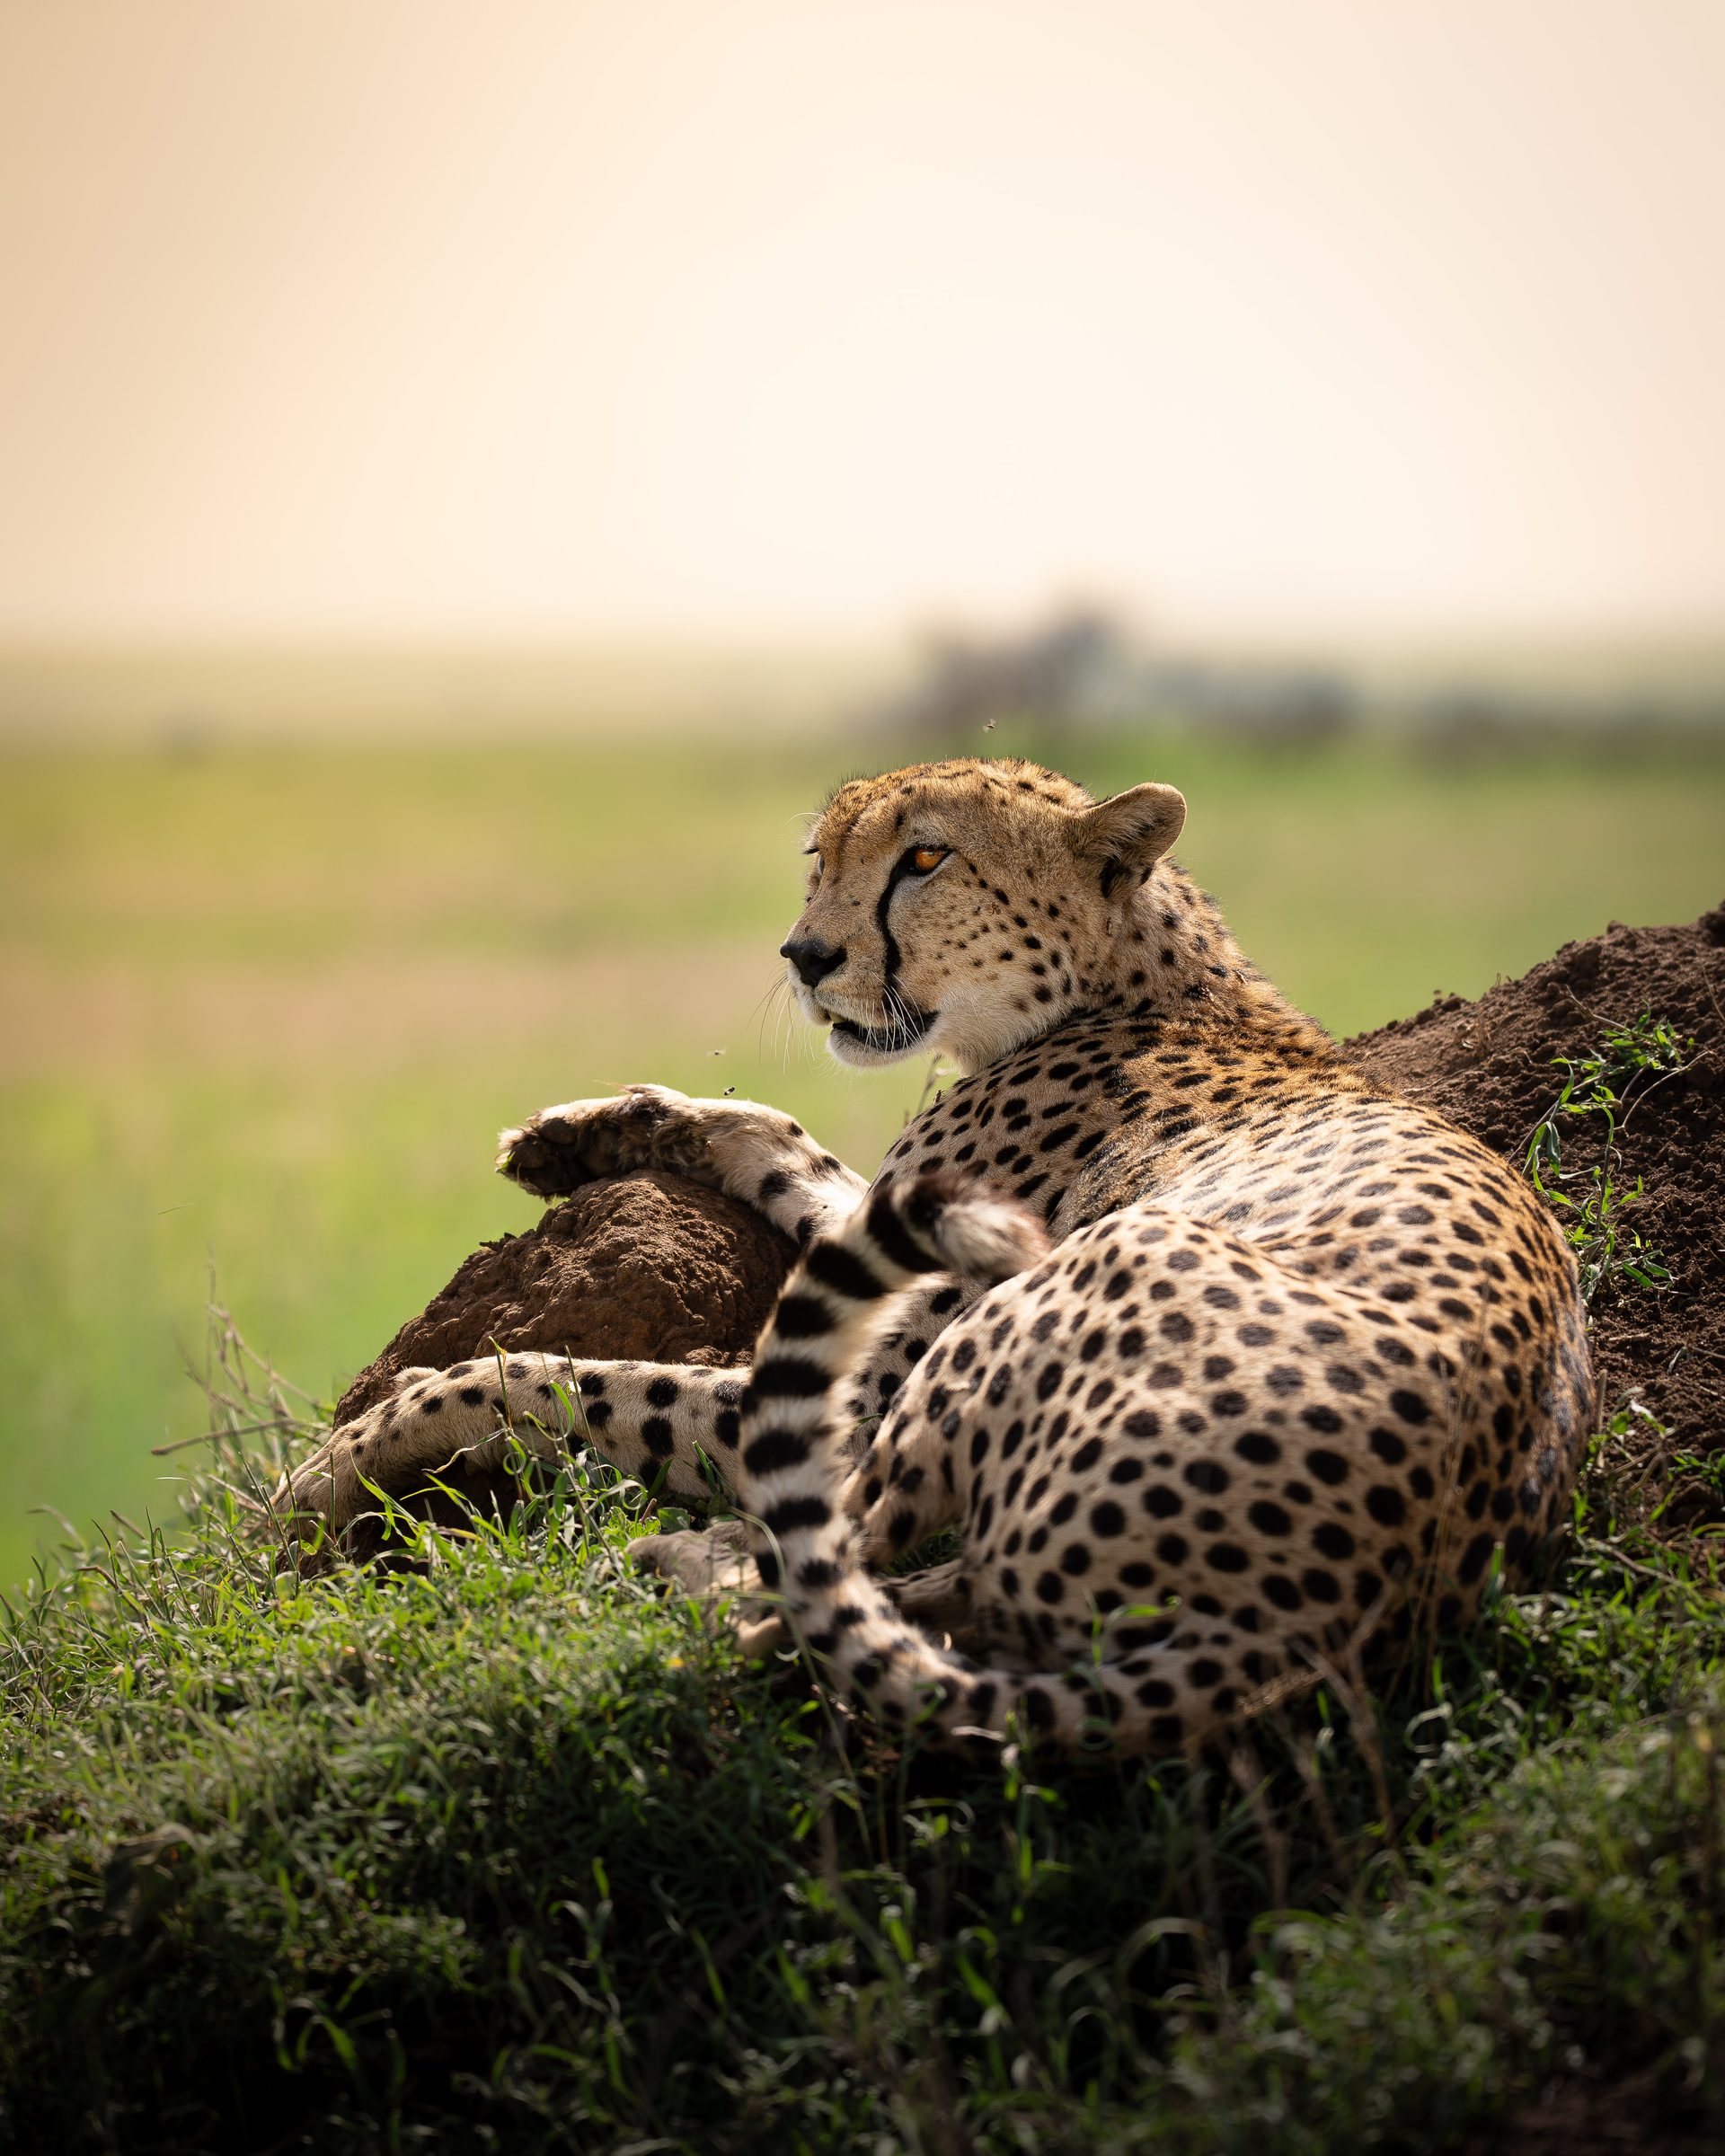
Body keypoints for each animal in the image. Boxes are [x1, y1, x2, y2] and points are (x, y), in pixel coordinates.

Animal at [276, 756, 1592, 1756]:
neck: (1135, 977)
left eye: (925, 861)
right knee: (884, 1601)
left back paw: (667, 1560)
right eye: (823, 857)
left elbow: (550, 1376)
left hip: (1036, 1318)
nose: (806, 956)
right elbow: (781, 1141)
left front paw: (338, 1461)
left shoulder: (869, 1349)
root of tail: (1316, 1614)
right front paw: (584, 1130)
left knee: (815, 1574)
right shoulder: (905, 1212)